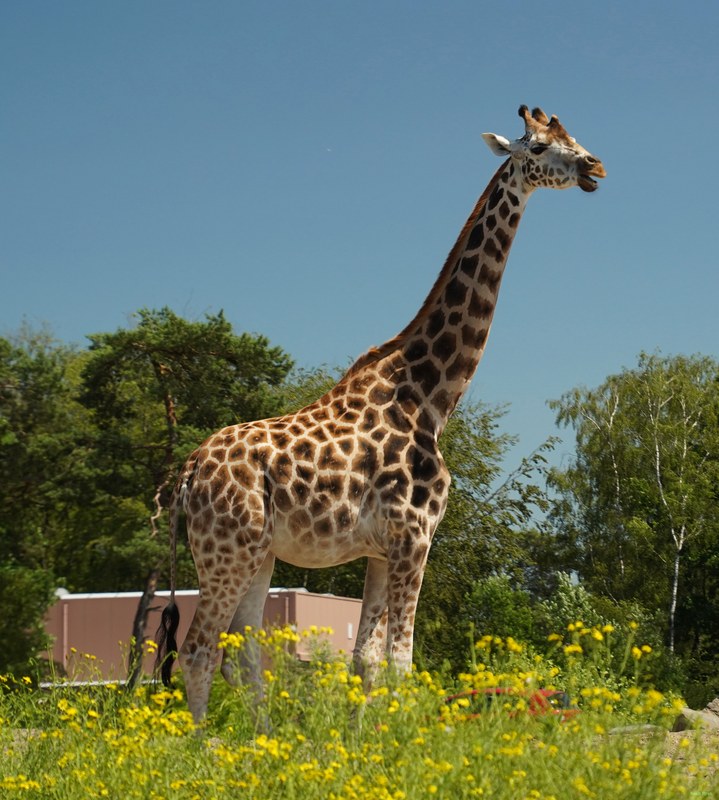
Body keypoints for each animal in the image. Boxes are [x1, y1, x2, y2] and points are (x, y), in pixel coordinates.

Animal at [156, 105, 605, 723]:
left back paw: (257, 740)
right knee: (200, 650)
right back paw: (204, 745)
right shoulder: (415, 535)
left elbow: (364, 663)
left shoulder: (376, 549)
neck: (431, 395)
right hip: (226, 549)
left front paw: (363, 740)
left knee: (238, 654)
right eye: (537, 146)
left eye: (573, 136)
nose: (595, 167)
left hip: (257, 554)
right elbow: (401, 662)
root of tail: (188, 473)